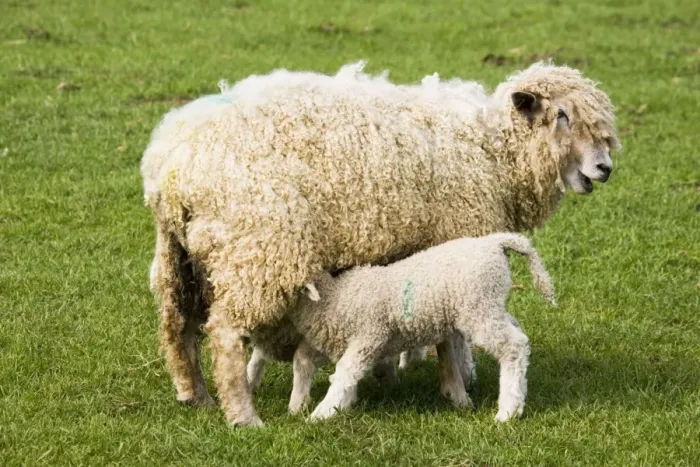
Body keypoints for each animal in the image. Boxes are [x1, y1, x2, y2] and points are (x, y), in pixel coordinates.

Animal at [283, 233, 555, 421]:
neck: (332, 298)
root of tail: (495, 242)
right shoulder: (336, 340)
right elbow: (304, 360)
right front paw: (300, 405)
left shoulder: (369, 336)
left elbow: (344, 373)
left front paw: (322, 413)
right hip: (491, 305)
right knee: (519, 334)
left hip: (479, 307)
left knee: (513, 347)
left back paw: (508, 410)